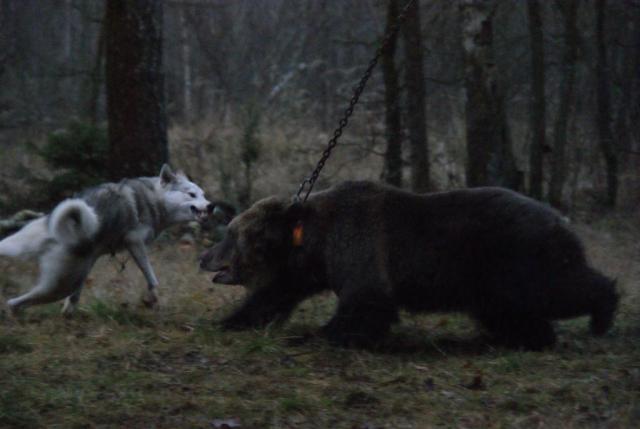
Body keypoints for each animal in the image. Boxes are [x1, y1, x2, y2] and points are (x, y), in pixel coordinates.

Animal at [1, 164, 211, 316]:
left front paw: (69, 308)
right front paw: (152, 299)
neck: (155, 200)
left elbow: (74, 297)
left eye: (203, 194)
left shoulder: (93, 259)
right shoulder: (134, 242)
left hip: (60, 273)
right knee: (17, 301)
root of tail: (57, 229)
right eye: (191, 194)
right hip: (60, 285)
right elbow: (152, 279)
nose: (211, 206)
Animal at [200, 180, 618, 350]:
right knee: (509, 312)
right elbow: (272, 297)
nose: (203, 257)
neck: (310, 242)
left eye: (230, 234)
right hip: (489, 281)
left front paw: (318, 334)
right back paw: (527, 337)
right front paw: (230, 322)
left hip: (516, 254)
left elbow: (366, 303)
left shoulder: (358, 250)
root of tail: (558, 216)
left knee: (558, 288)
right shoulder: (304, 269)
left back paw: (602, 313)